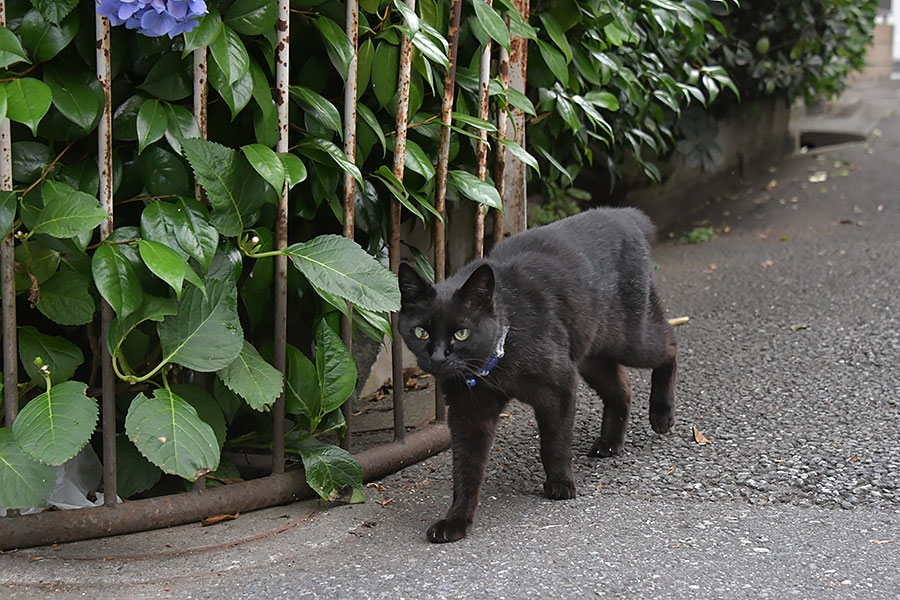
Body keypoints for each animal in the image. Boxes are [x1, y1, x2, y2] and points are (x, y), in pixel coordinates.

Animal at [398, 207, 680, 544]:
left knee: (670, 344)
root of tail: (625, 214)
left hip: (630, 339)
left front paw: (560, 485)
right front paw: (456, 520)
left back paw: (661, 414)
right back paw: (609, 443)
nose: (438, 356)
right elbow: (465, 469)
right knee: (622, 389)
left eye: (461, 333)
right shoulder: (468, 412)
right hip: (591, 356)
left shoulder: (559, 387)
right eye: (421, 332)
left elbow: (554, 443)